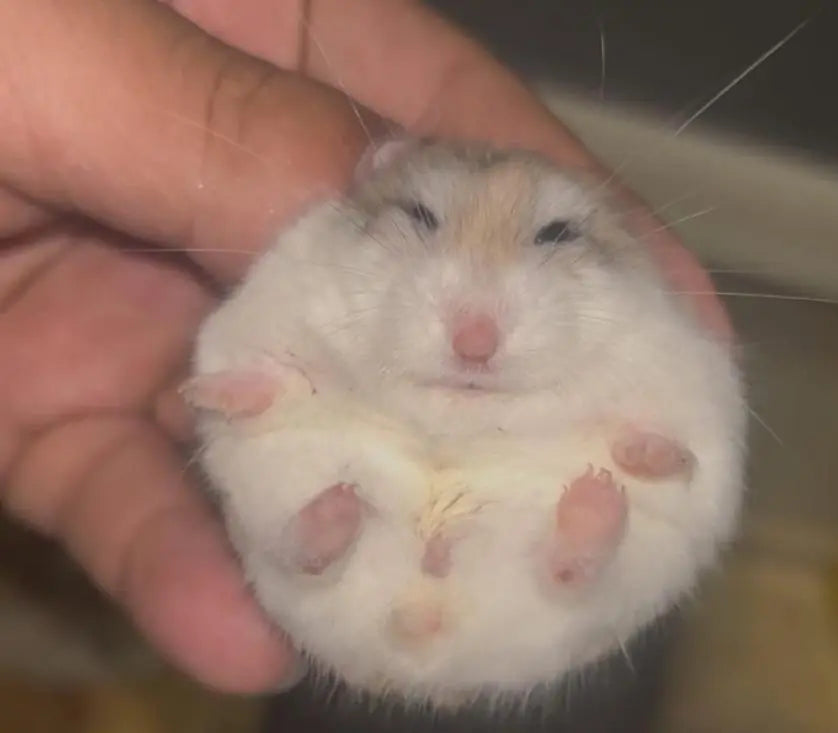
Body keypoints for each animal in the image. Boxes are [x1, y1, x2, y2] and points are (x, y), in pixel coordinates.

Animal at [183, 139, 747, 708]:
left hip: (621, 578)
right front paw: (203, 391)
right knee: (297, 548)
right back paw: (332, 504)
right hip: (269, 504)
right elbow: (281, 377)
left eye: (557, 232)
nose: (474, 345)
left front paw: (651, 456)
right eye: (420, 214)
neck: (460, 422)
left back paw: (595, 500)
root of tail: (423, 635)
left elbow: (664, 439)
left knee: (570, 572)